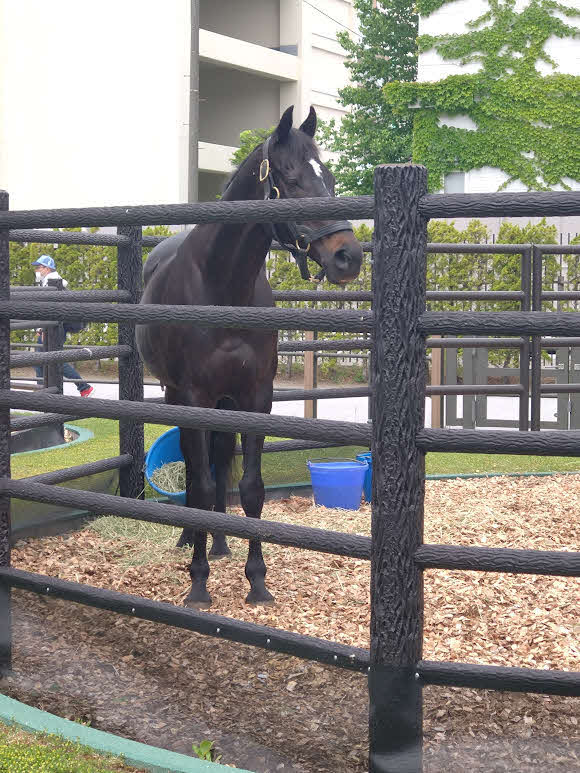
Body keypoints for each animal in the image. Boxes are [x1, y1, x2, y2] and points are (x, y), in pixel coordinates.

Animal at [136, 106, 363, 608]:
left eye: (330, 179)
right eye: (292, 179)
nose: (348, 257)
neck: (221, 287)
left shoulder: (257, 398)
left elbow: (251, 488)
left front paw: (257, 581)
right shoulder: (195, 398)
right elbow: (200, 483)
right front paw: (198, 584)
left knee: (220, 462)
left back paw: (220, 542)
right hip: (177, 395)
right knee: (197, 468)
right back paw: (191, 539)